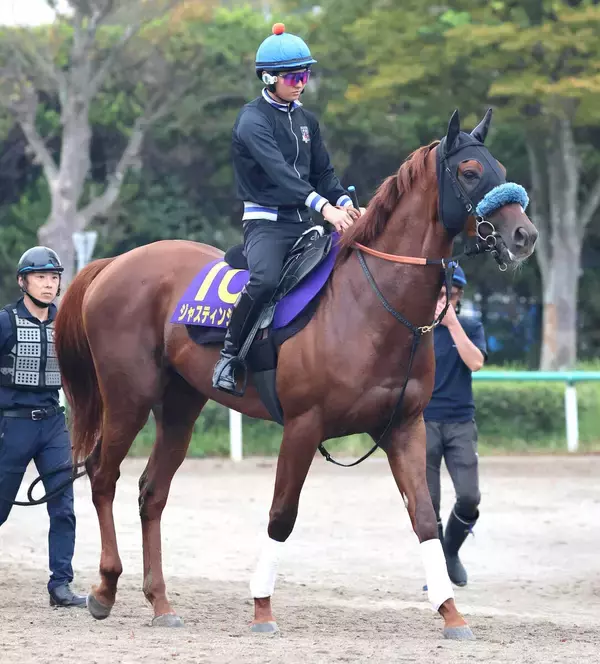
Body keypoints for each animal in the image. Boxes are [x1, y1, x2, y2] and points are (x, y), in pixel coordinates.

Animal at [54, 109, 537, 640]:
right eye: (470, 172)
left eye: (500, 167)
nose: (524, 235)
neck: (370, 303)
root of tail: (113, 264)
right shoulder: (304, 426)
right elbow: (281, 516)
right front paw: (262, 608)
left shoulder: (405, 427)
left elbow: (425, 518)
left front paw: (452, 613)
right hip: (129, 398)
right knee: (103, 476)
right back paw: (104, 588)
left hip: (180, 406)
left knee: (151, 493)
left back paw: (160, 602)